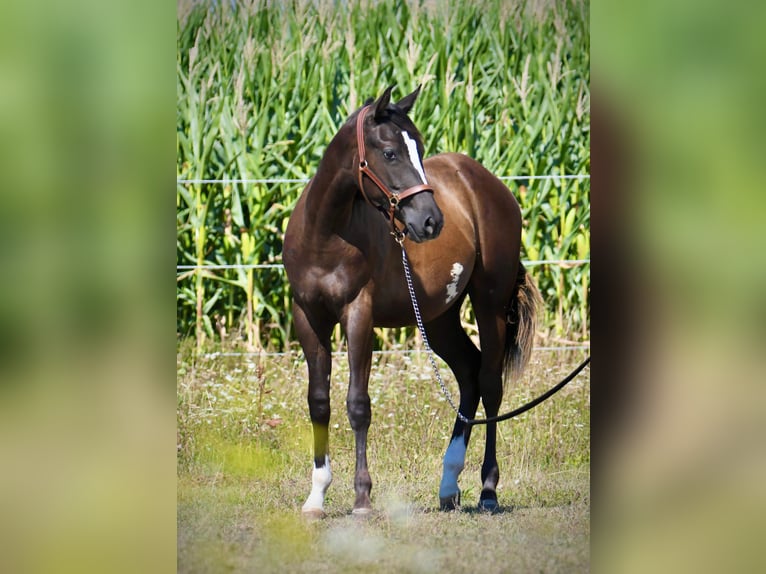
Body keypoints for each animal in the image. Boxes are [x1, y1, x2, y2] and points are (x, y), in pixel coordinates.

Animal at [283, 86, 541, 516]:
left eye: (419, 149)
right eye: (390, 153)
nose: (431, 221)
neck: (325, 235)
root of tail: (488, 183)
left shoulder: (359, 316)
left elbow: (358, 404)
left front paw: (362, 498)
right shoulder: (309, 318)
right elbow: (319, 402)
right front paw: (316, 496)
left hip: (488, 303)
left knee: (490, 384)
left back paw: (487, 490)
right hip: (439, 319)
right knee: (468, 374)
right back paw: (448, 486)